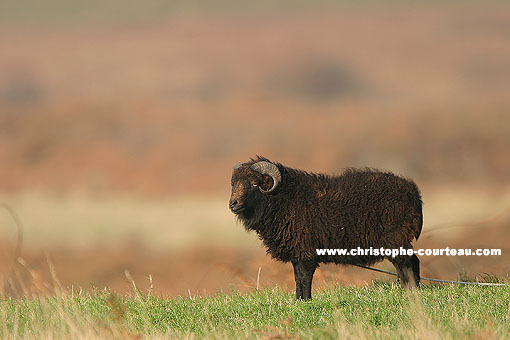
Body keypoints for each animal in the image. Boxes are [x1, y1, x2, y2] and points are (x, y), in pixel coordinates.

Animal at [230, 157, 422, 300]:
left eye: (254, 184)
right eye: (233, 184)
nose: (233, 204)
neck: (283, 199)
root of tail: (413, 192)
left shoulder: (306, 251)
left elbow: (304, 277)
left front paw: (306, 300)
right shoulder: (297, 252)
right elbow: (297, 278)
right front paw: (299, 300)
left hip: (396, 237)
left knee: (407, 263)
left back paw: (411, 290)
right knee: (409, 262)